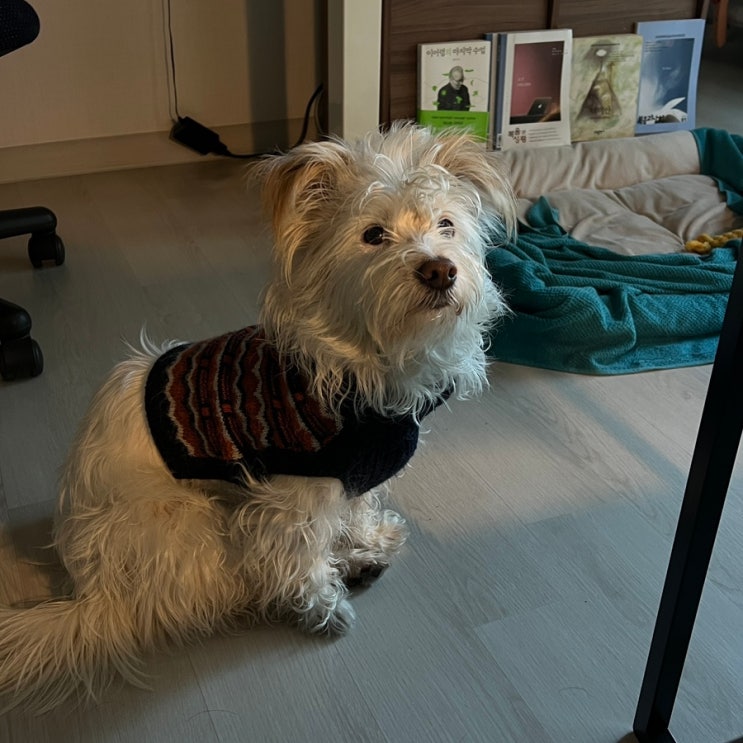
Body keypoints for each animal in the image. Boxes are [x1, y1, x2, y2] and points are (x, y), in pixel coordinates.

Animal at [0, 123, 516, 712]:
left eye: (446, 224)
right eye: (373, 235)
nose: (439, 269)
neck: (367, 363)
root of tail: (91, 594)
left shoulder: (354, 474)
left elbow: (356, 511)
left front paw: (367, 541)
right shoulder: (291, 501)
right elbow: (299, 561)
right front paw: (324, 608)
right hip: (193, 520)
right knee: (231, 584)